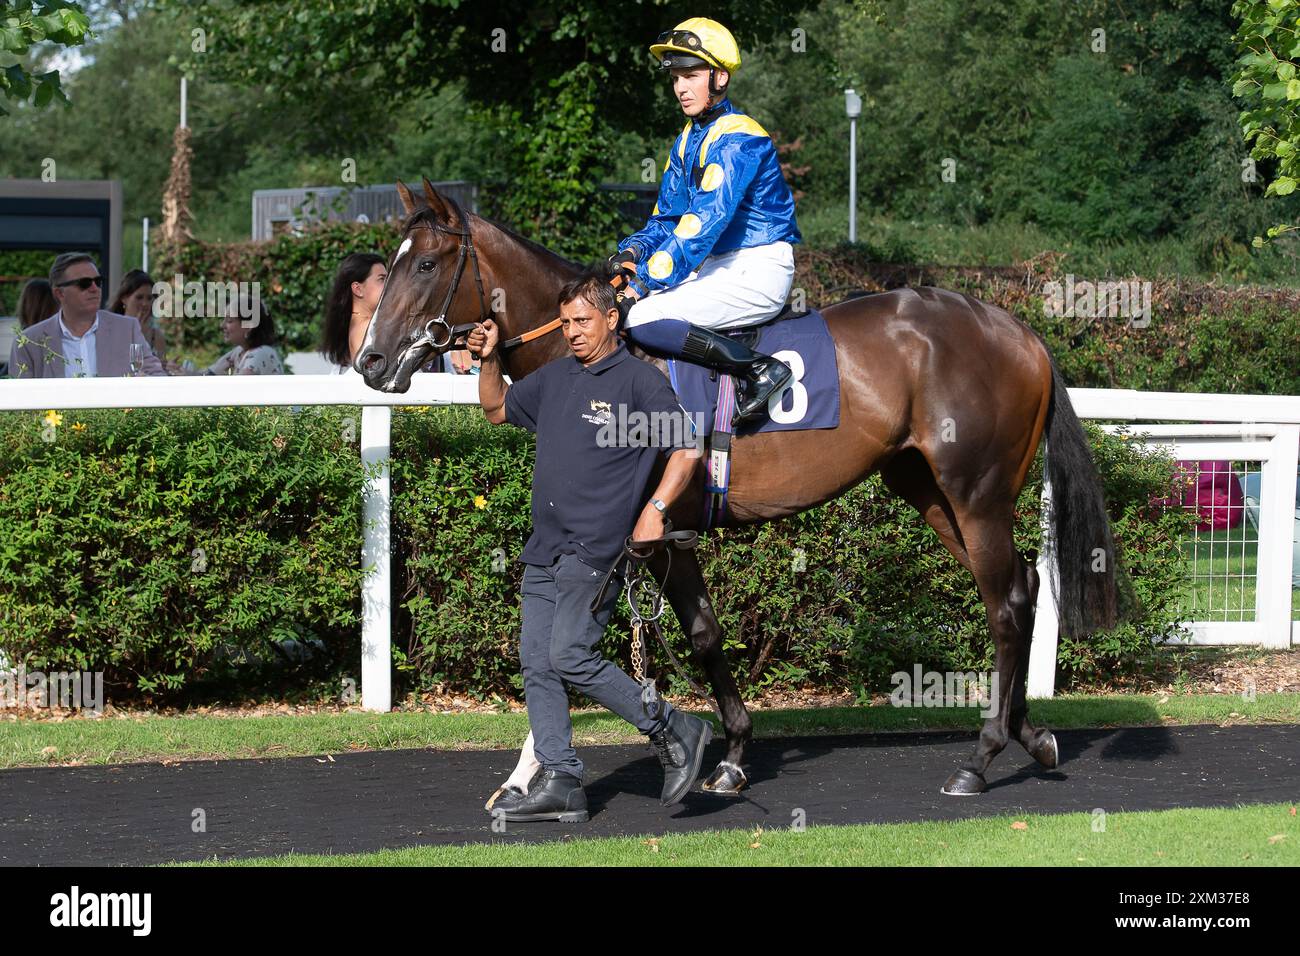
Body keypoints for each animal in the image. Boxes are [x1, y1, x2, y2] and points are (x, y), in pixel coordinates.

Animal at [356, 175, 1118, 796]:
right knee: (1021, 585)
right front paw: (727, 753)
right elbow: (690, 634)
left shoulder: (644, 531)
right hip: (930, 491)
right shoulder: (659, 535)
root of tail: (1019, 330)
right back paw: (1030, 735)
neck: (597, 353)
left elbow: (598, 643)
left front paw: (536, 774)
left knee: (1004, 605)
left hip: (976, 492)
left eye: (425, 263)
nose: (370, 361)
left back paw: (980, 757)